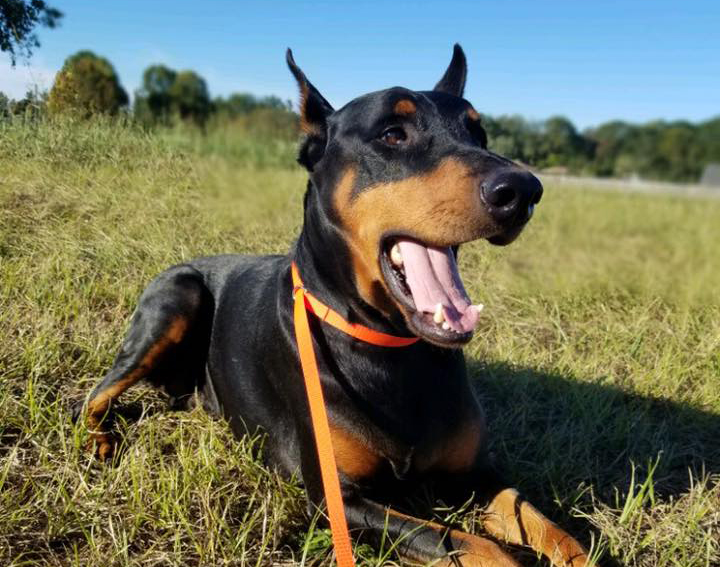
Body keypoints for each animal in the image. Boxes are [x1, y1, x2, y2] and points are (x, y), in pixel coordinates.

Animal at [79, 45, 592, 567]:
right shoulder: (338, 499)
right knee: (93, 394)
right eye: (392, 133)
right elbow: (473, 545)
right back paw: (99, 439)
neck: (391, 347)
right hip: (179, 294)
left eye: (479, 133)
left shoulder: (474, 471)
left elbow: (550, 528)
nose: (523, 190)